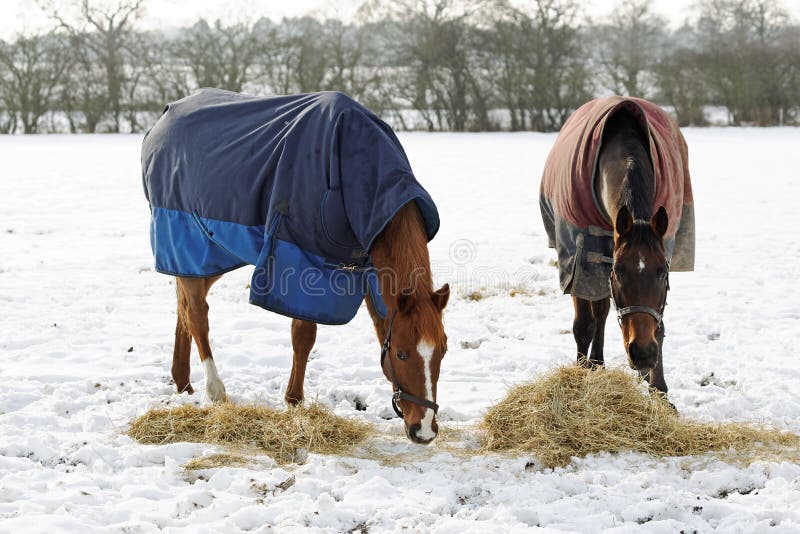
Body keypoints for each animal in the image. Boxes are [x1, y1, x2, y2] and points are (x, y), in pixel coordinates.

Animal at [143, 90, 449, 444]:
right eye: (401, 353)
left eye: (443, 350)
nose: (424, 430)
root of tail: (164, 117)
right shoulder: (303, 264)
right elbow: (303, 336)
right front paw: (294, 401)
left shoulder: (371, 272)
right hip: (187, 240)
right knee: (196, 314)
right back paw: (214, 389)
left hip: (210, 253)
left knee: (184, 306)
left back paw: (182, 383)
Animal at [540, 97, 695, 397]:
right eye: (620, 272)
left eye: (662, 273)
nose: (643, 353)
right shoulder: (579, 260)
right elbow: (584, 325)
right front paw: (582, 374)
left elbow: (658, 325)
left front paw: (659, 389)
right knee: (595, 314)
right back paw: (594, 362)